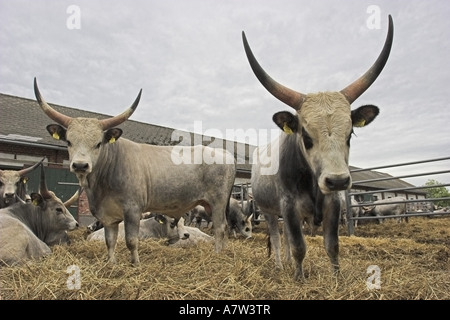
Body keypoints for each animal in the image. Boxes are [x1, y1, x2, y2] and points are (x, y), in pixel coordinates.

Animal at [33, 80, 237, 264]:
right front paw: (111, 264)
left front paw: (135, 264)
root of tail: (225, 154)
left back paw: (217, 255)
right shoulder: (108, 216)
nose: (80, 165)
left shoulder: (132, 210)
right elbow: (110, 241)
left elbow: (131, 241)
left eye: (98, 143)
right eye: (68, 141)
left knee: (220, 227)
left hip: (218, 201)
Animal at [243, 15, 394, 280]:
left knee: (284, 236)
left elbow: (332, 245)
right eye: (306, 136)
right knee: (277, 237)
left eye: (350, 133)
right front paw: (299, 278)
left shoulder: (332, 203)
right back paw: (280, 266)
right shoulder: (288, 206)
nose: (338, 181)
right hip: (269, 210)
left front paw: (336, 278)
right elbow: (298, 246)